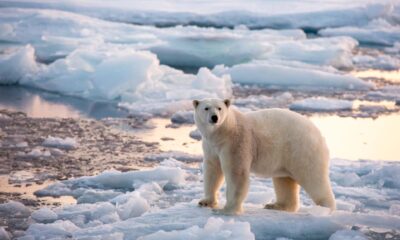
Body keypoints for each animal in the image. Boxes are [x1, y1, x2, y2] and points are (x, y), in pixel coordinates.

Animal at [193, 98, 334, 215]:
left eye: (219, 108)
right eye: (206, 108)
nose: (214, 117)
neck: (223, 132)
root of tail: (319, 134)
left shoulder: (236, 143)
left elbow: (236, 173)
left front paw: (227, 209)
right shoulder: (211, 146)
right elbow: (213, 170)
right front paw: (205, 202)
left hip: (302, 150)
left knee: (313, 178)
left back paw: (326, 208)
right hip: (285, 156)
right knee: (284, 180)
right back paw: (276, 205)